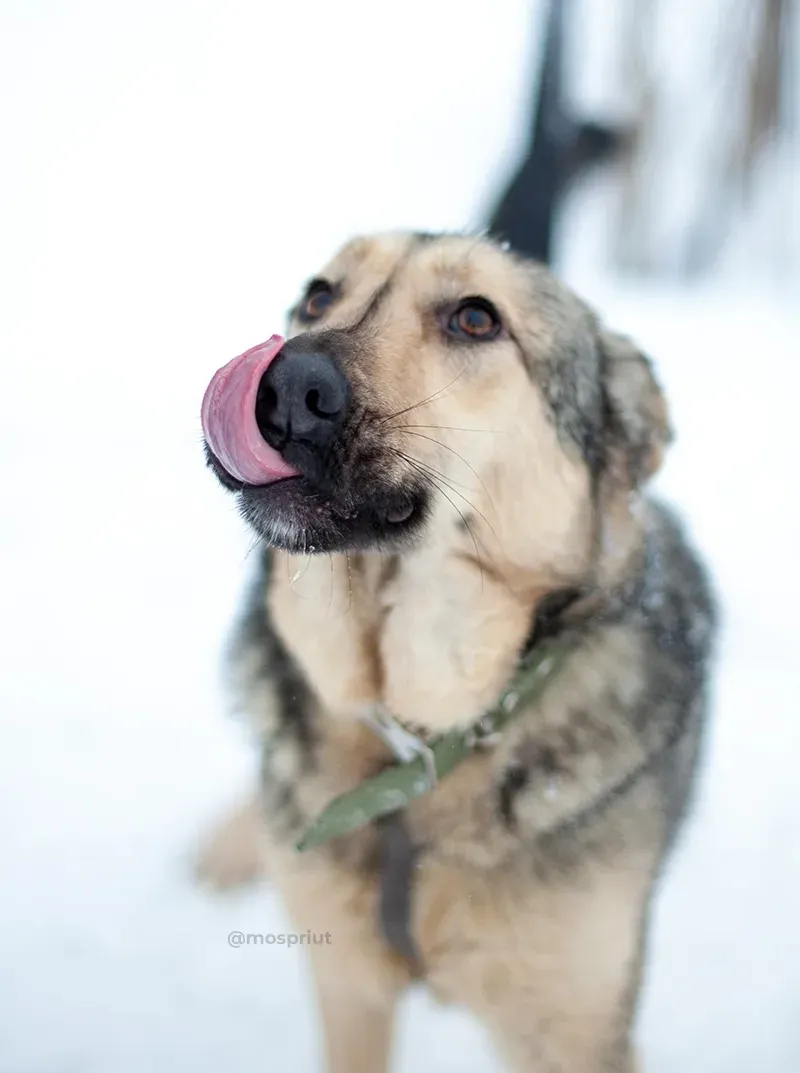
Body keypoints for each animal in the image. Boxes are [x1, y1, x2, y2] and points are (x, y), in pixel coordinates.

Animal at [196, 234, 712, 1073]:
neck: (416, 748)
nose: (285, 384)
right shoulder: (346, 984)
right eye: (317, 296)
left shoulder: (575, 1028)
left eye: (475, 318)